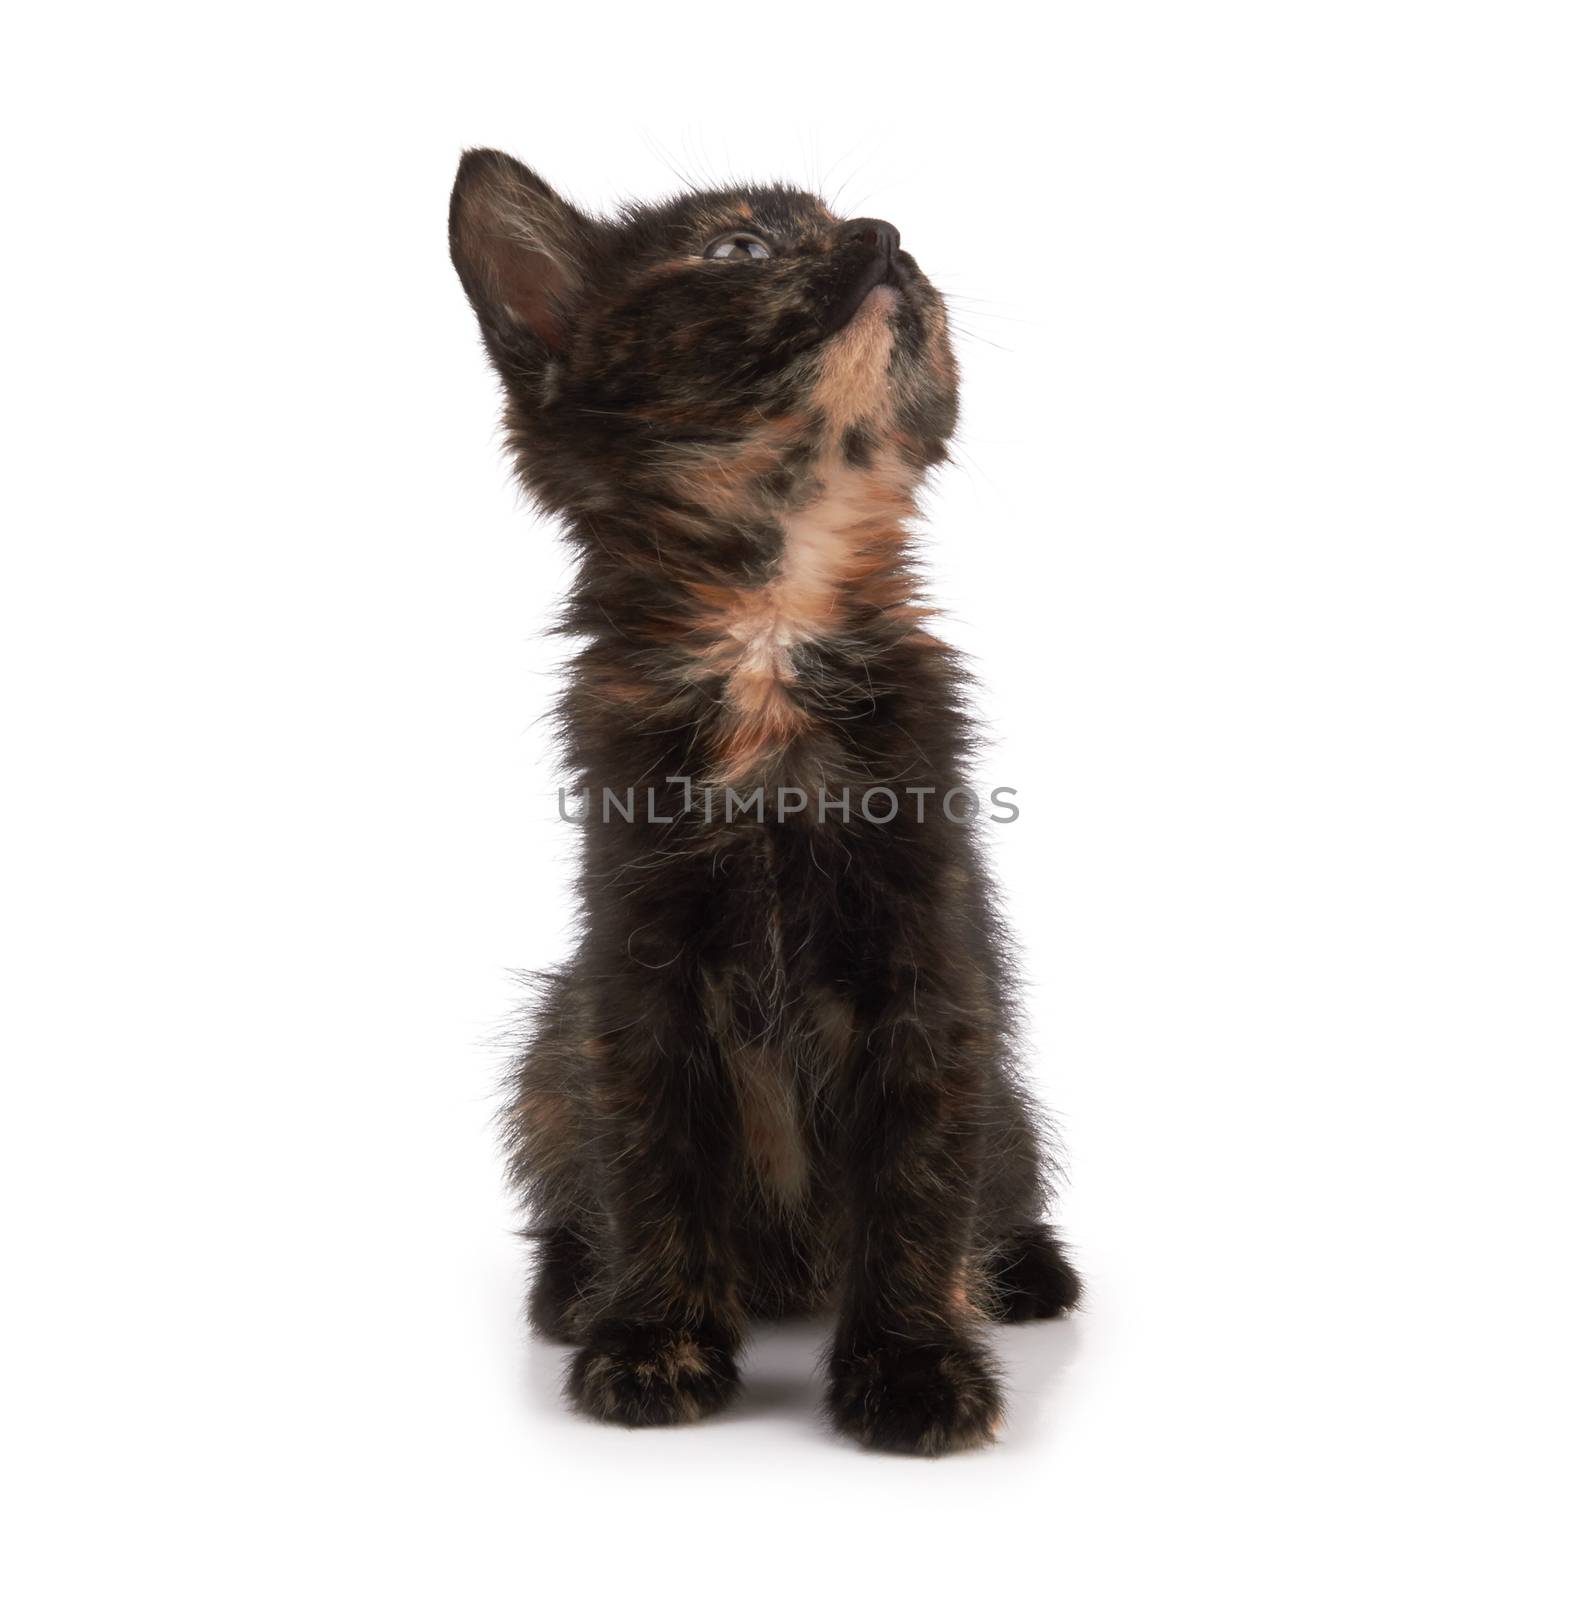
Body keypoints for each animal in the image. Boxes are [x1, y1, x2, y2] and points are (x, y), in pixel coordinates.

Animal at [444, 147, 1075, 1452]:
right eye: (740, 248)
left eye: (896, 243)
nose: (890, 238)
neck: (771, 621)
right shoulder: (636, 973)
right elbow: (651, 1165)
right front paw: (654, 1338)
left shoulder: (930, 970)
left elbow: (918, 1184)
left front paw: (913, 1364)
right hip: (550, 1040)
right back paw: (572, 1285)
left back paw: (1026, 1273)